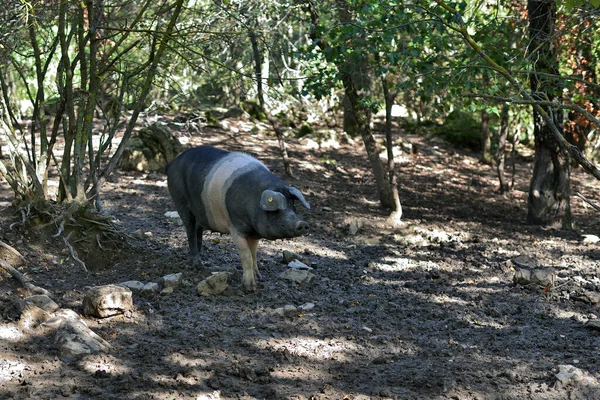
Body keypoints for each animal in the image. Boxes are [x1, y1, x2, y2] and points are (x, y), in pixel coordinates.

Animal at [166, 145, 312, 290]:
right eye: (276, 209)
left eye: (292, 204)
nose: (302, 223)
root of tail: (173, 162)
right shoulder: (236, 226)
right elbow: (246, 255)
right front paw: (250, 287)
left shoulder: (254, 233)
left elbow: (253, 253)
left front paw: (259, 277)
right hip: (179, 198)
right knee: (190, 229)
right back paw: (196, 264)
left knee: (198, 229)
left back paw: (203, 260)